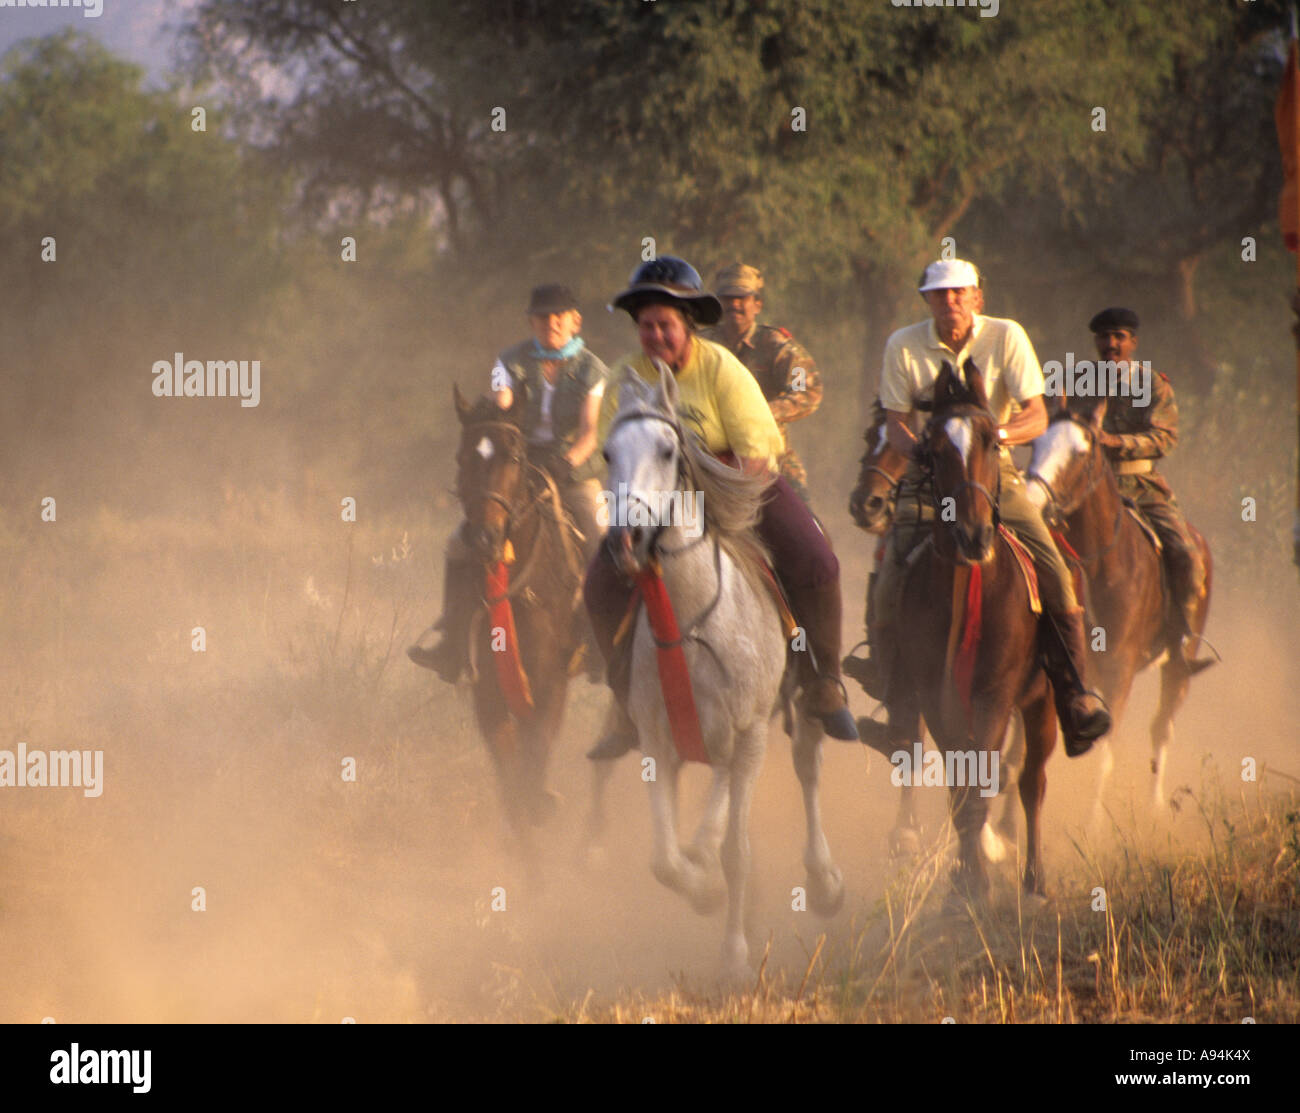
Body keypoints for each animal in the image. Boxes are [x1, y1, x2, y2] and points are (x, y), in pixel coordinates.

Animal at [449, 385, 590, 848]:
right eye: (462, 457)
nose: (484, 538)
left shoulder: (552, 680)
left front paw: (542, 806)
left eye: (513, 456)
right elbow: (511, 775)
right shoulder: (487, 690)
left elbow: (534, 757)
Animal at [601, 368, 844, 979]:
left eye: (667, 450)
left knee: (807, 770)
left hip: (798, 711)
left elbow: (735, 851)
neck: (690, 622)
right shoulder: (657, 742)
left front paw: (734, 957)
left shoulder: (750, 733)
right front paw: (702, 887)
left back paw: (824, 882)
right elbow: (665, 860)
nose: (624, 540)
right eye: (608, 453)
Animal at [848, 401, 1027, 861]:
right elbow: (912, 741)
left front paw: (987, 841)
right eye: (868, 436)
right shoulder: (920, 679)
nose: (867, 504)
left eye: (907, 449)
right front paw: (906, 832)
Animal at [881, 363, 1058, 901]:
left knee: (1031, 783)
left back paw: (1034, 879)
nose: (973, 535)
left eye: (991, 441)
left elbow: (985, 781)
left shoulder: (994, 697)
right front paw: (965, 881)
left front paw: (980, 878)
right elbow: (961, 791)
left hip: (1041, 701)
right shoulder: (936, 700)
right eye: (934, 451)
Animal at [1025, 397, 1213, 814]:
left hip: (1179, 665)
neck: (1099, 566)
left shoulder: (1120, 671)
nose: (1031, 501)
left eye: (1081, 453)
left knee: (1162, 728)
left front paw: (1093, 823)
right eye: (1036, 444)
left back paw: (1155, 807)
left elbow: (1105, 752)